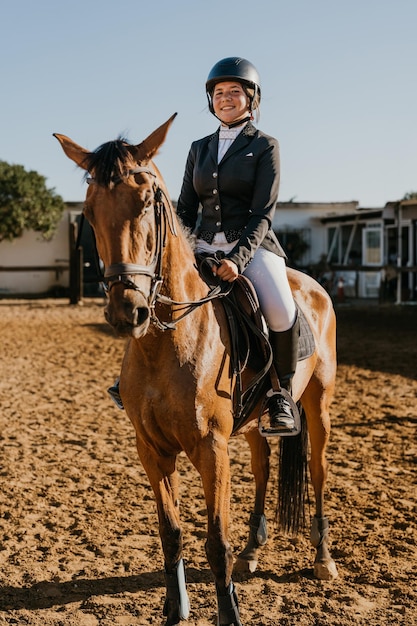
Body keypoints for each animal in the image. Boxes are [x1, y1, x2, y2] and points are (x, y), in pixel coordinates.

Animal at [54, 113, 338, 624]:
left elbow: (215, 541)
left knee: (319, 470)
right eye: (88, 210)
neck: (165, 342)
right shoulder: (151, 449)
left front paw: (230, 614)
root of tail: (310, 283)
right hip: (252, 423)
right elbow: (171, 534)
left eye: (148, 203)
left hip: (319, 405)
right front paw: (174, 610)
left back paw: (323, 560)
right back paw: (252, 552)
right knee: (263, 467)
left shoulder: (210, 447)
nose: (127, 312)